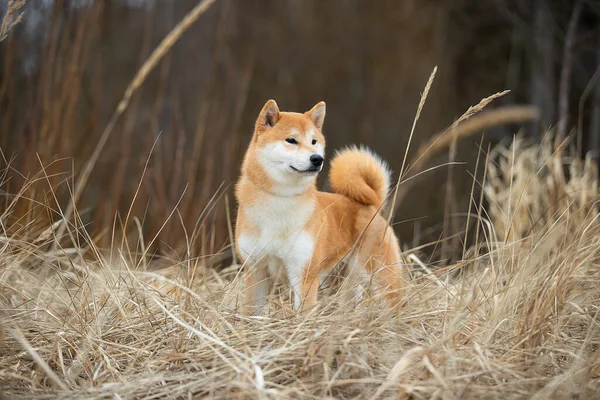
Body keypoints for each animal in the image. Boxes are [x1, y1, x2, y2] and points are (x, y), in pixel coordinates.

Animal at [234, 100, 404, 316]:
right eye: (291, 140)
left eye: (314, 141)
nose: (317, 159)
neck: (281, 200)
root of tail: (371, 206)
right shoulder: (255, 271)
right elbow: (250, 313)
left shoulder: (304, 275)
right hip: (348, 283)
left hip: (381, 277)